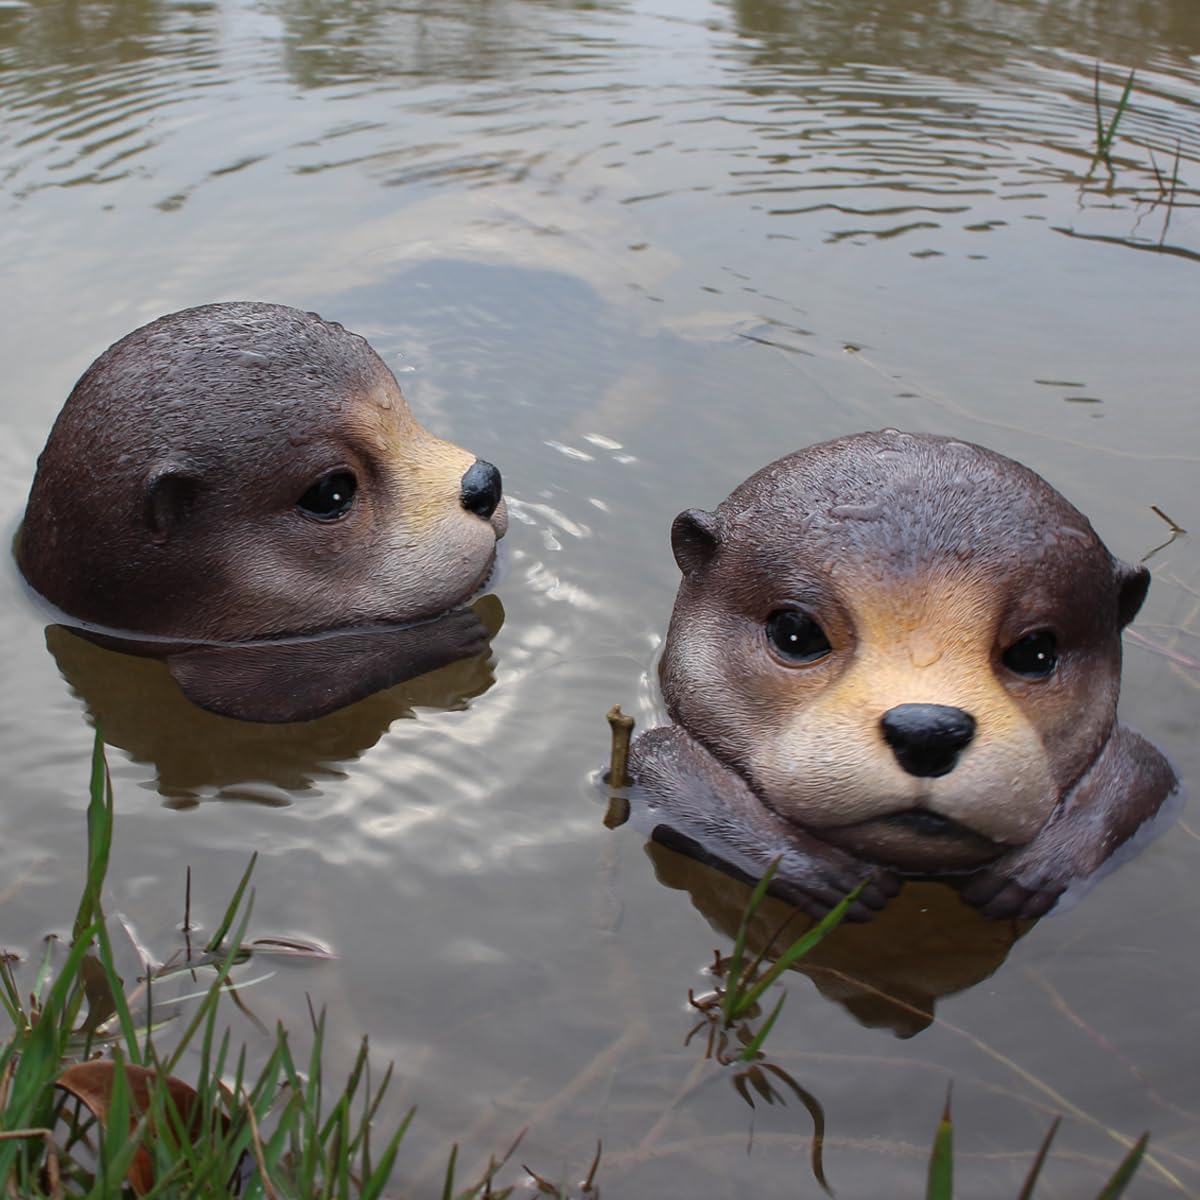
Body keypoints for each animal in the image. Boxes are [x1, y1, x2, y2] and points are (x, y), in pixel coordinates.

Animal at [628, 431, 1178, 920]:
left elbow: (1145, 768)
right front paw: (822, 873)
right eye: (795, 632)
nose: (929, 730)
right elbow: (656, 759)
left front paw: (1035, 869)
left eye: (1036, 651)